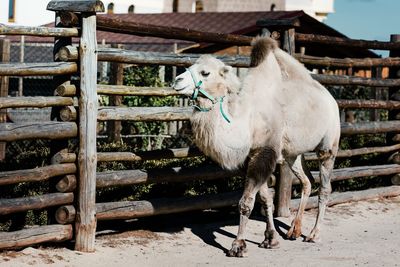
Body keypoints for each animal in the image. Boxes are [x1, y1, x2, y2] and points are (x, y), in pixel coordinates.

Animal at [172, 36, 340, 258]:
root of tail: (331, 98)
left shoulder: (265, 151)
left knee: (325, 187)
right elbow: (265, 198)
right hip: (292, 153)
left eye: (205, 72)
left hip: (329, 144)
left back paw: (314, 234)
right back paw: (294, 230)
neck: (247, 119)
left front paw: (238, 245)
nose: (177, 81)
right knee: (307, 181)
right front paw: (270, 239)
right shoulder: (250, 156)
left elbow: (246, 202)